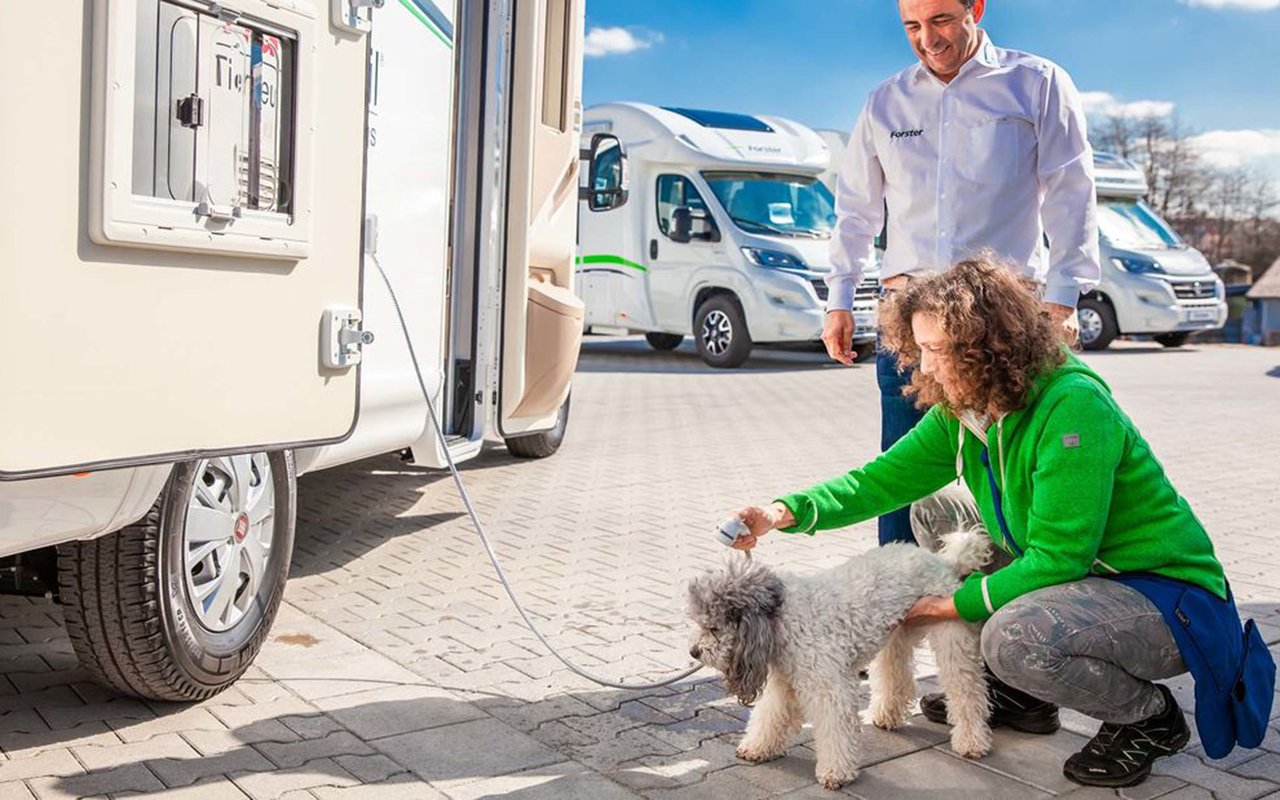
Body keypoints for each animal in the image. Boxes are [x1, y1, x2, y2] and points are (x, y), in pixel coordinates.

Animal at [686, 532, 993, 788]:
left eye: (713, 628)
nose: (693, 652)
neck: (783, 618)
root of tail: (942, 561)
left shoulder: (828, 687)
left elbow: (835, 728)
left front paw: (836, 773)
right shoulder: (785, 682)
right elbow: (769, 716)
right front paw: (757, 747)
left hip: (951, 639)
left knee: (966, 693)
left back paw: (971, 741)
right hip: (896, 637)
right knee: (896, 679)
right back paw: (886, 716)